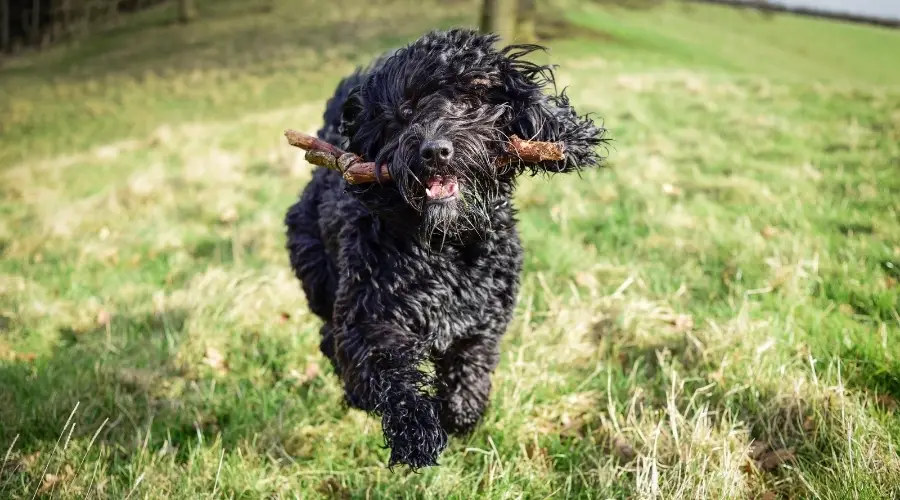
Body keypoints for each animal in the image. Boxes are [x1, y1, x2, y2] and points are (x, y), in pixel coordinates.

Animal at [284, 30, 608, 468]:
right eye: (404, 112)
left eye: (469, 101)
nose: (435, 150)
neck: (446, 246)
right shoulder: (369, 319)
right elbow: (387, 373)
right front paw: (416, 429)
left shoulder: (482, 322)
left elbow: (471, 367)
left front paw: (460, 412)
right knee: (328, 336)